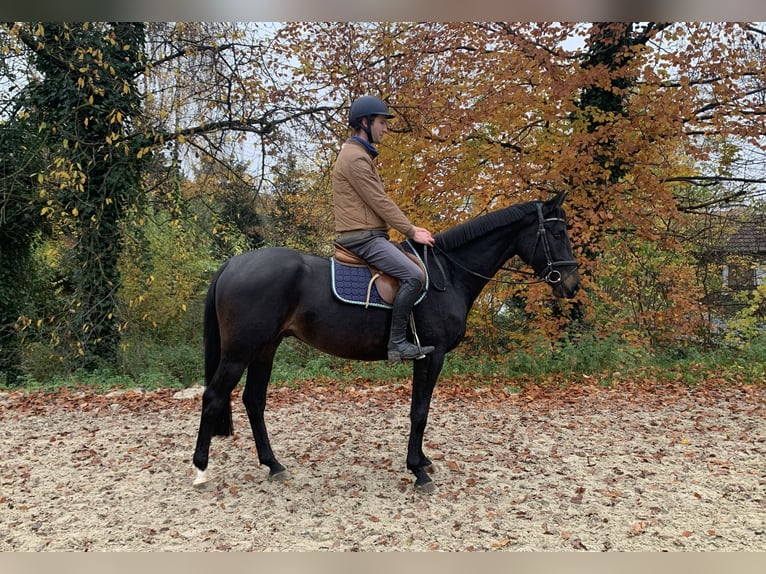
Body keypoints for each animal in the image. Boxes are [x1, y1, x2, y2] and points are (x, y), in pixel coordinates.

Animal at [192, 192, 580, 492]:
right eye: (558, 232)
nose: (572, 285)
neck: (449, 274)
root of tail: (232, 264)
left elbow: (419, 410)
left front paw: (422, 461)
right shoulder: (431, 355)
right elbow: (420, 412)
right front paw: (418, 470)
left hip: (265, 349)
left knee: (253, 401)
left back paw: (273, 465)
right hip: (240, 352)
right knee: (213, 397)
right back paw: (200, 470)